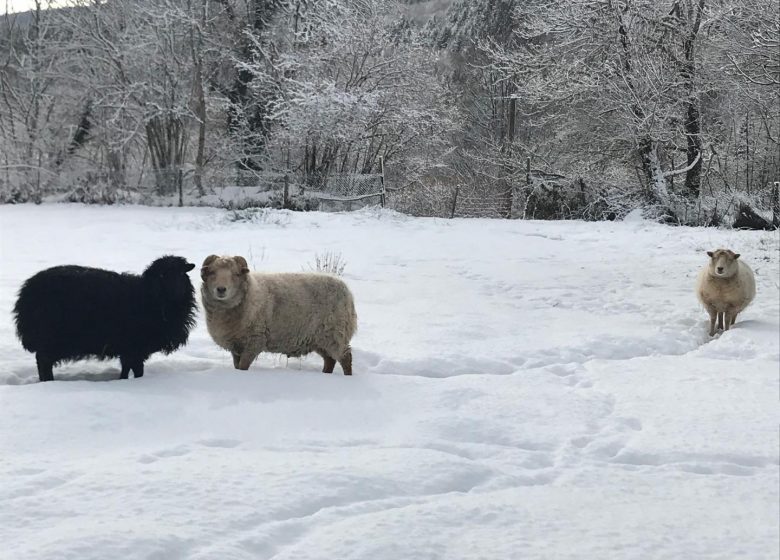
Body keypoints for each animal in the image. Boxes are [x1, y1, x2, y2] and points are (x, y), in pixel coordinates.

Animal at [13, 256, 197, 382]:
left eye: (181, 273)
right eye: (162, 275)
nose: (176, 292)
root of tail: (26, 293)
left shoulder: (128, 348)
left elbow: (126, 368)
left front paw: (122, 380)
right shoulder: (135, 346)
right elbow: (137, 370)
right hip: (52, 337)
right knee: (43, 361)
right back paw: (48, 382)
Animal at [201, 256, 360, 374]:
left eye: (236, 274)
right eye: (212, 272)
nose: (221, 289)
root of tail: (347, 291)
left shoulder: (254, 341)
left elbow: (243, 367)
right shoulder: (236, 346)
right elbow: (237, 366)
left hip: (335, 334)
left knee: (346, 358)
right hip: (320, 339)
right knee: (330, 360)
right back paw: (325, 374)